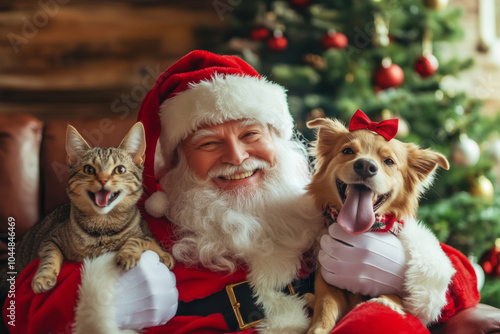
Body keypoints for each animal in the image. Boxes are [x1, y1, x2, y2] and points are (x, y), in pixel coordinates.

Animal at [18, 122, 174, 292]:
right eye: (89, 169)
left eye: (120, 170)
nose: (103, 180)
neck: (103, 225)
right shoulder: (51, 239)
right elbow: (49, 256)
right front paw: (43, 276)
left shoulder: (149, 237)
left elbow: (139, 240)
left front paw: (128, 254)